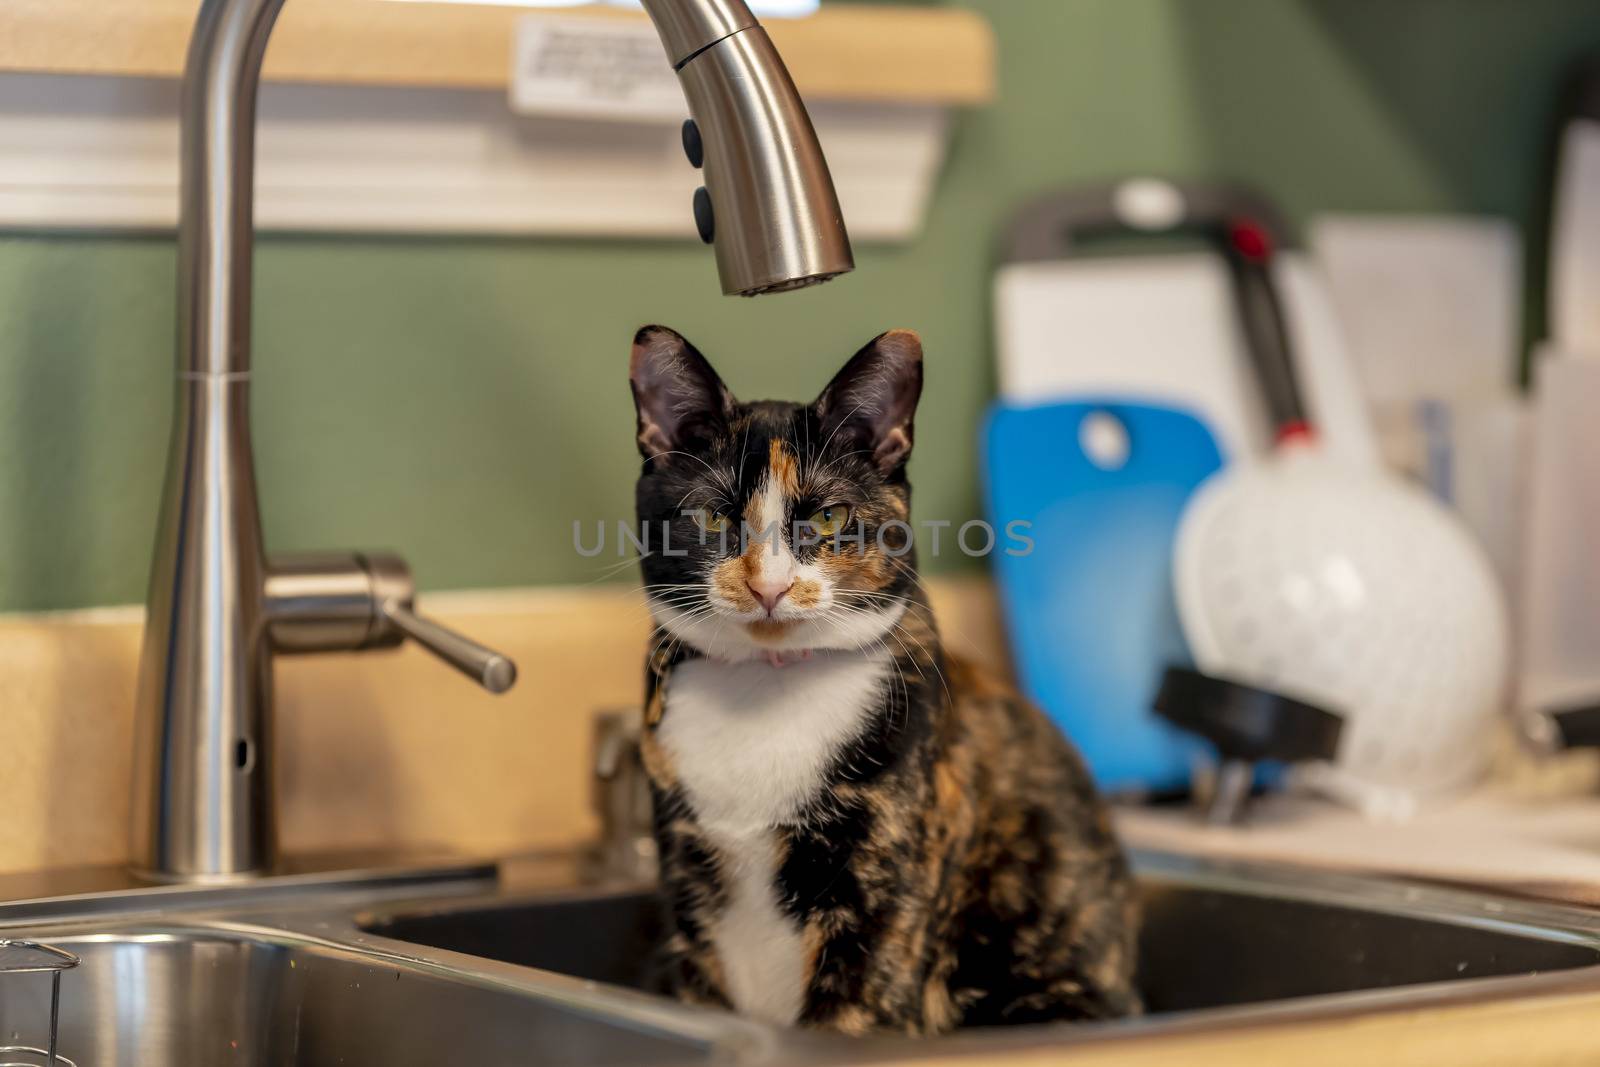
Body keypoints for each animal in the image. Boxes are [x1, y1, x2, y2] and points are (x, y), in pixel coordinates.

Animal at [624, 326, 1139, 1036]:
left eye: (831, 518)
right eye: (711, 518)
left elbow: (852, 1014)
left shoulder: (881, 899)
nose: (768, 587)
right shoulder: (690, 895)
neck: (766, 689)